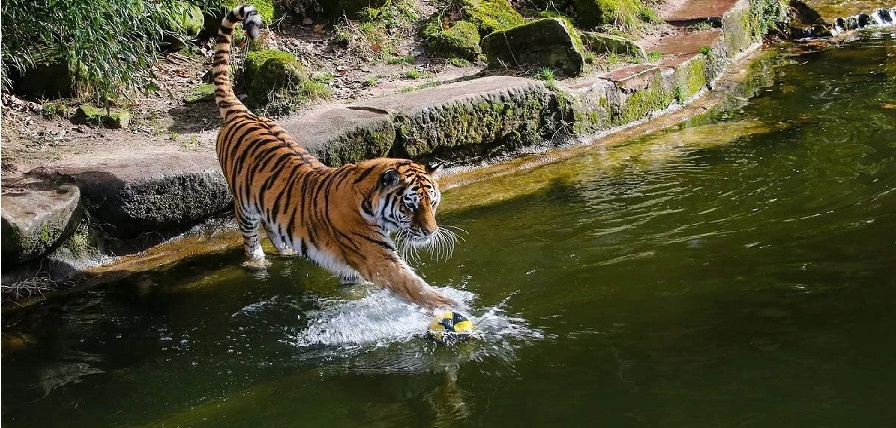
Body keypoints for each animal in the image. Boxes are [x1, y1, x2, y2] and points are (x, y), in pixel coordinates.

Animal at [213, 5, 458, 310]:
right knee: (249, 239)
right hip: (244, 205)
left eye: (432, 203)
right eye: (410, 205)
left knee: (271, 226)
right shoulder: (375, 257)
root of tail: (243, 113)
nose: (430, 233)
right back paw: (257, 263)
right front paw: (452, 306)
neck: (369, 200)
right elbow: (414, 287)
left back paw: (286, 252)